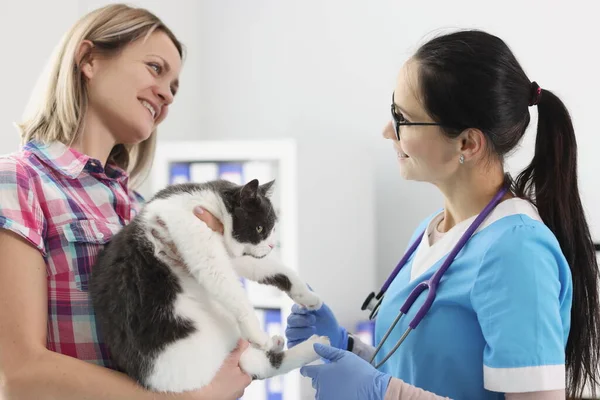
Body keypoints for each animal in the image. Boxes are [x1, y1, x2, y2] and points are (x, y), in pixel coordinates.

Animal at [89, 180, 328, 392]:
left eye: (272, 229)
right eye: (260, 228)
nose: (270, 245)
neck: (209, 200)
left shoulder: (234, 253)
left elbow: (272, 269)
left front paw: (309, 297)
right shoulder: (196, 234)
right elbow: (225, 282)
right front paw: (257, 332)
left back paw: (282, 342)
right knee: (264, 365)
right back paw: (313, 344)